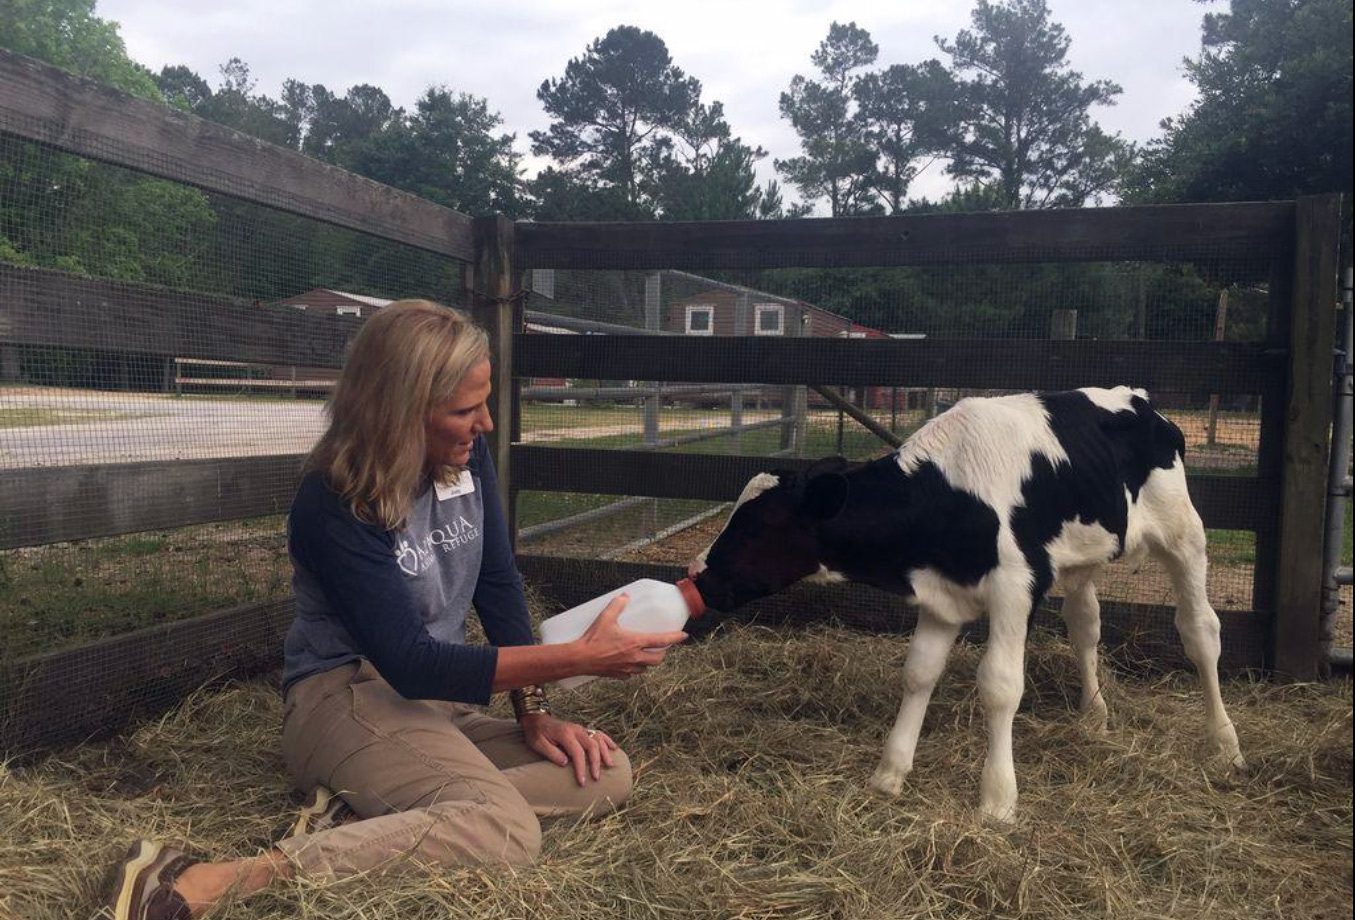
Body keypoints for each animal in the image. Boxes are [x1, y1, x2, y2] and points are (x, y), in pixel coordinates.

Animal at [693, 387, 1241, 818]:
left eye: (760, 525)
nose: (697, 574)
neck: (948, 494)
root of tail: (1142, 402)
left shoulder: (1015, 588)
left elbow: (999, 686)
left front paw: (997, 800)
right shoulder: (942, 597)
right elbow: (919, 673)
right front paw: (890, 773)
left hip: (1184, 535)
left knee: (1201, 632)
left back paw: (1225, 744)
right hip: (1082, 557)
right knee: (1085, 626)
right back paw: (1095, 715)